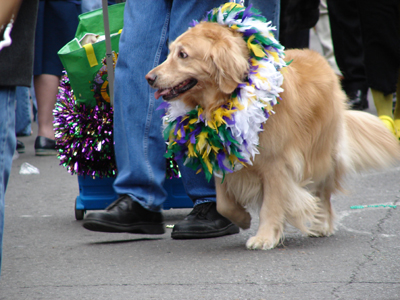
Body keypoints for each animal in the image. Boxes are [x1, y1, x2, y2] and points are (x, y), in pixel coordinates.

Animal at [145, 22, 398, 250]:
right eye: (170, 52)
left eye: (183, 55)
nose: (149, 77)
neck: (227, 100)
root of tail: (322, 61)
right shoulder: (223, 157)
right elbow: (223, 203)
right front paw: (243, 218)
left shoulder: (277, 165)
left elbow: (271, 203)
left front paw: (265, 237)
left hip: (321, 154)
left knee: (323, 192)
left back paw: (321, 223)